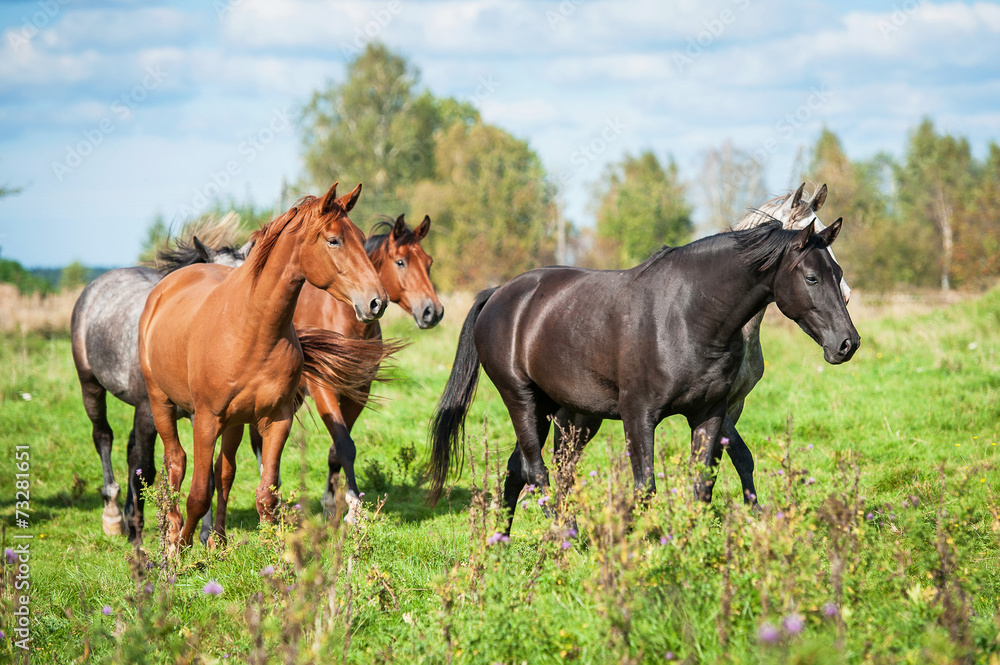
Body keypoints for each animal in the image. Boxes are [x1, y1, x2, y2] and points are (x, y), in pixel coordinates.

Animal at [71, 236, 249, 544]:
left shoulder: (202, 416)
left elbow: (207, 476)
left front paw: (204, 535)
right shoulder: (148, 410)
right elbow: (147, 467)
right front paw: (137, 535)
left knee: (129, 449)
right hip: (91, 385)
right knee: (103, 436)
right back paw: (114, 515)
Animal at [139, 180, 388, 548]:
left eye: (359, 236)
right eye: (333, 240)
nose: (377, 301)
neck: (251, 329)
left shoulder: (276, 420)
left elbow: (265, 494)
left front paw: (274, 549)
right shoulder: (206, 420)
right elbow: (198, 494)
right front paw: (181, 547)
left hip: (233, 423)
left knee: (224, 472)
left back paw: (218, 540)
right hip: (162, 402)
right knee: (175, 462)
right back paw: (172, 534)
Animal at [249, 214, 442, 524]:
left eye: (428, 262)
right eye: (401, 262)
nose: (432, 312)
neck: (345, 322)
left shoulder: (358, 392)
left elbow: (338, 449)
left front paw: (332, 503)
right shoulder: (324, 389)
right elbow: (344, 445)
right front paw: (353, 508)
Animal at [430, 220, 860, 532]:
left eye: (837, 271)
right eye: (811, 277)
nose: (847, 343)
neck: (689, 315)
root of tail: (500, 293)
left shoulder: (709, 414)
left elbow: (702, 485)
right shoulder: (638, 417)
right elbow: (645, 488)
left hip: (568, 414)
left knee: (525, 469)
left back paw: (505, 542)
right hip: (522, 399)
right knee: (537, 471)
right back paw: (564, 535)